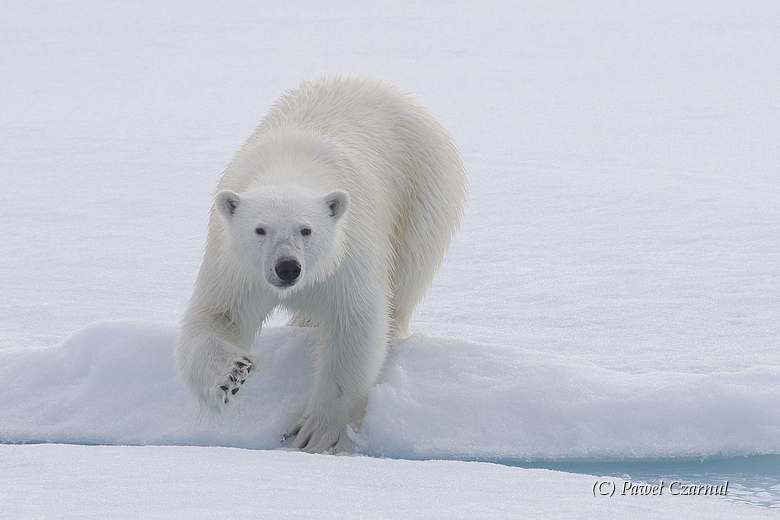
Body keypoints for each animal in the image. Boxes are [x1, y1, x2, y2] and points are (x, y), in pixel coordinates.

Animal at [176, 73, 466, 450]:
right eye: (260, 229)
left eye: (306, 229)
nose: (287, 267)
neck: (290, 166)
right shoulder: (235, 266)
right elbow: (217, 314)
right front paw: (232, 374)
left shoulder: (346, 256)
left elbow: (354, 324)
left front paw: (317, 432)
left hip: (424, 189)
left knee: (408, 276)